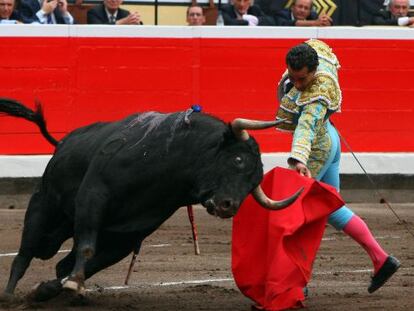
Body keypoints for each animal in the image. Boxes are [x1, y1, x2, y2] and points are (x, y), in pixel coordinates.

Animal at [0, 98, 300, 304]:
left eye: (253, 183)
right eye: (237, 160)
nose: (229, 206)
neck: (169, 165)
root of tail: (63, 143)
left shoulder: (129, 235)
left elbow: (93, 261)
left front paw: (57, 288)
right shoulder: (93, 196)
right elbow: (87, 247)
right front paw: (72, 284)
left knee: (59, 261)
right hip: (42, 206)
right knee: (24, 253)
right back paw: (9, 296)